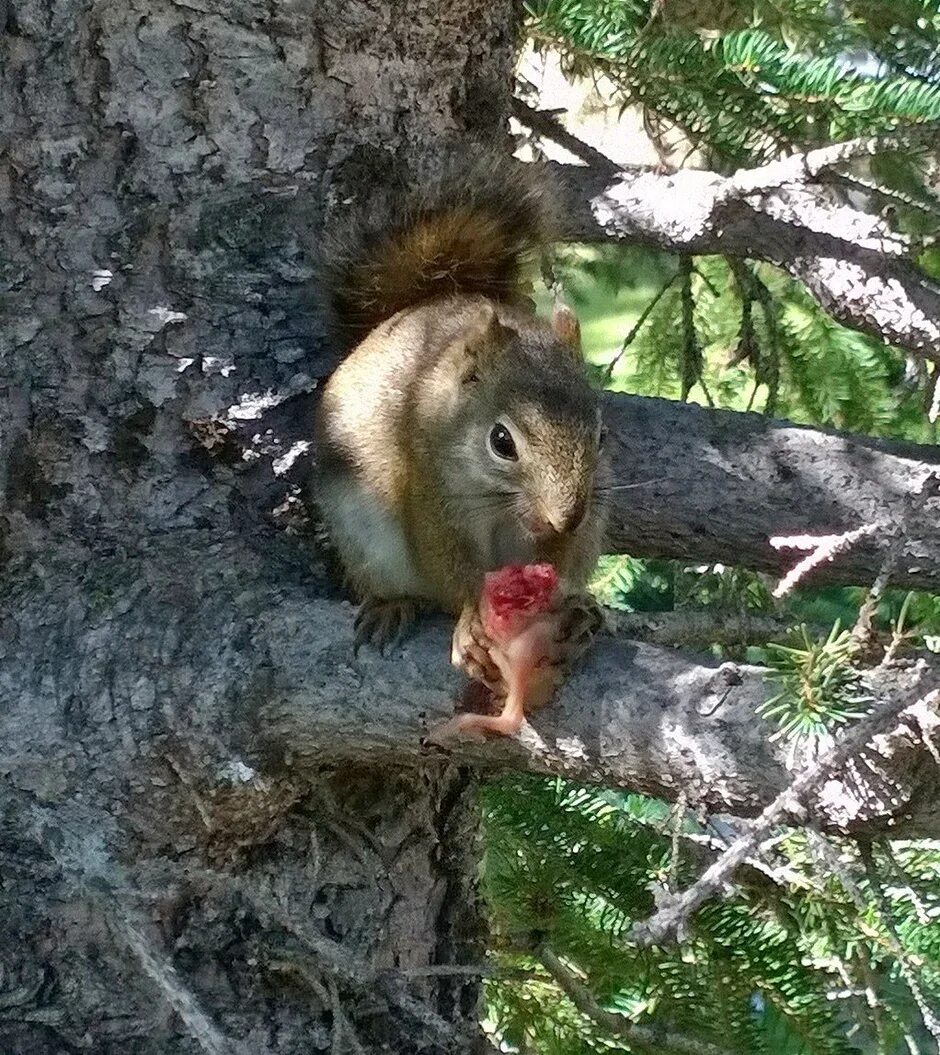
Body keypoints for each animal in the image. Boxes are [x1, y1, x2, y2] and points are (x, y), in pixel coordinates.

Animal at [314, 152, 611, 687]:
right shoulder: (429, 493)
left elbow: (555, 565)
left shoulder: (569, 537)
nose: (566, 516)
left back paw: (584, 612)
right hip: (361, 534)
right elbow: (448, 565)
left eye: (601, 436)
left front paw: (563, 608)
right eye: (502, 442)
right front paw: (473, 621)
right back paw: (392, 605)